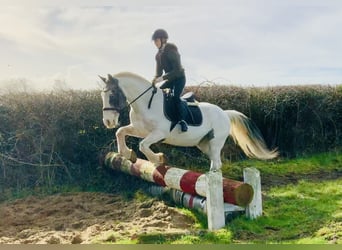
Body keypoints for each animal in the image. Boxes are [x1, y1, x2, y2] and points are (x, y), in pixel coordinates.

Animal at [99, 71, 278, 171]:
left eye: (112, 95)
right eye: (102, 95)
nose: (107, 121)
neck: (145, 104)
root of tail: (225, 113)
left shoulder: (159, 133)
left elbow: (143, 145)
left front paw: (158, 159)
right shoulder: (139, 129)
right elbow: (120, 132)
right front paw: (126, 153)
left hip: (215, 142)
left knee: (216, 161)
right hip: (203, 143)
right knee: (214, 161)